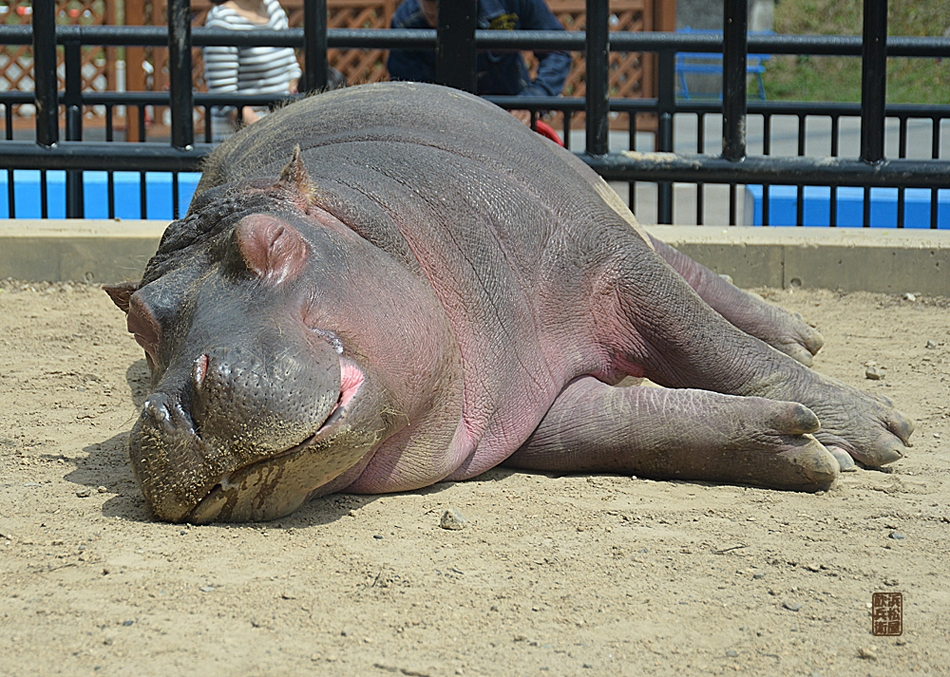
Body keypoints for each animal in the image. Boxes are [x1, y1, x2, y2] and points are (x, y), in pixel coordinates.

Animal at [105, 82, 913, 523]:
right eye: (137, 318)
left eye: (271, 241)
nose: (178, 409)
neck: (377, 226)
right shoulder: (537, 410)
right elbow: (635, 425)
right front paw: (806, 448)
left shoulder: (608, 261)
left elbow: (714, 346)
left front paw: (881, 432)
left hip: (619, 220)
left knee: (695, 280)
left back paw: (798, 334)